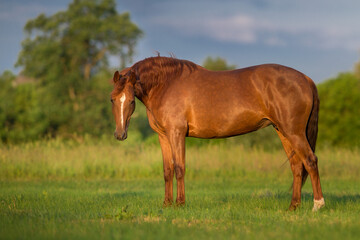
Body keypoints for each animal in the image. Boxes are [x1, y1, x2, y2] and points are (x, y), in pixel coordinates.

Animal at [109, 55, 324, 210]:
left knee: (311, 161)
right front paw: (166, 204)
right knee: (297, 166)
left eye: (131, 101)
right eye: (112, 99)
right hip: (283, 131)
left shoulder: (176, 133)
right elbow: (167, 170)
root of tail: (305, 79)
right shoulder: (163, 136)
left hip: (294, 132)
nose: (120, 134)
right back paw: (293, 206)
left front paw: (180, 204)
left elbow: (179, 168)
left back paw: (318, 205)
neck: (166, 84)